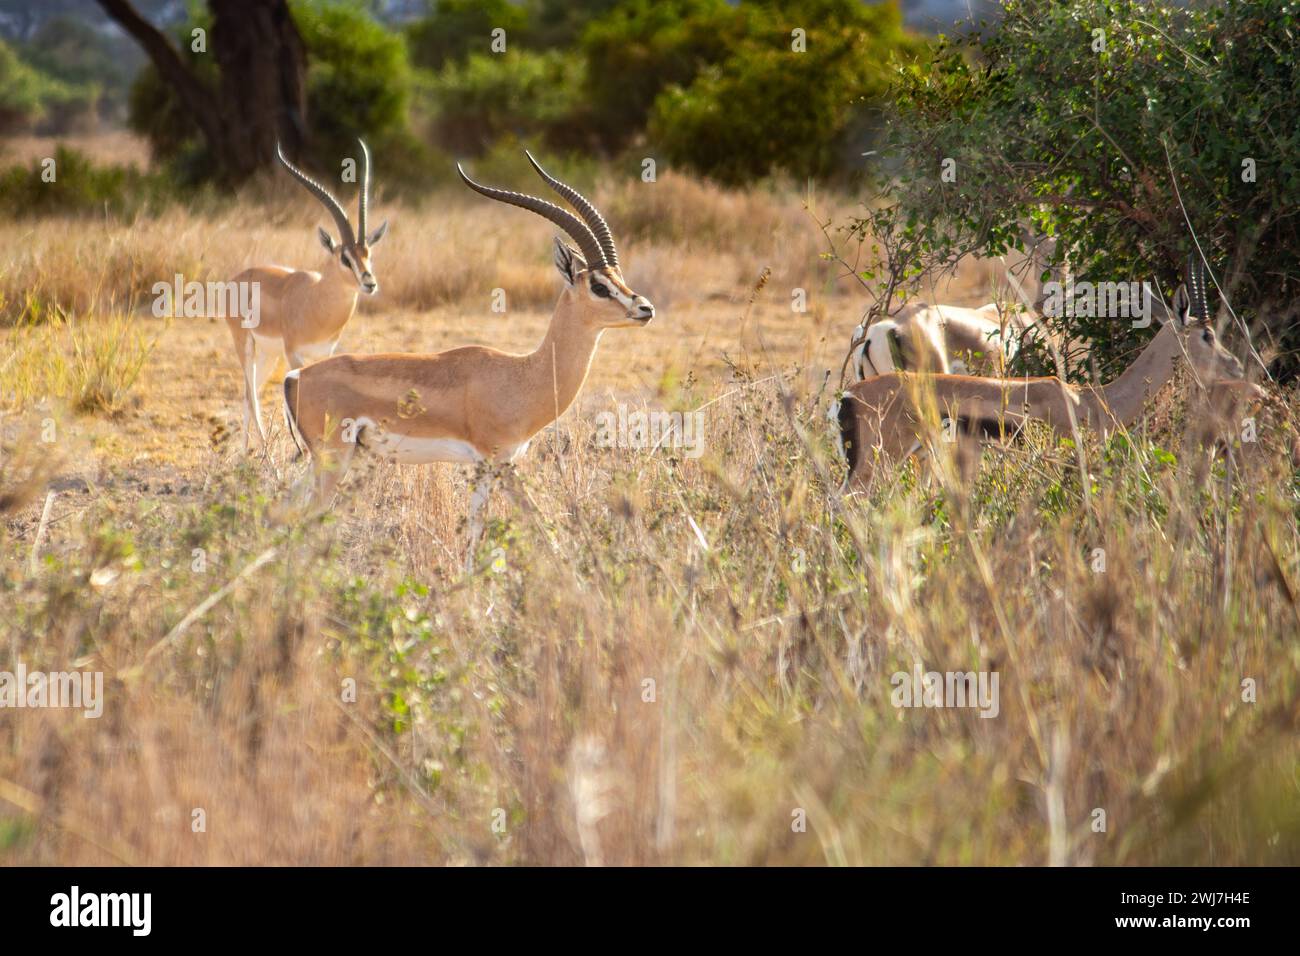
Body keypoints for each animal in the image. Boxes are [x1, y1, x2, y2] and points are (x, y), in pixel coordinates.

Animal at [227, 141, 388, 450]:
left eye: (368, 254)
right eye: (345, 258)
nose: (369, 283)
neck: (316, 302)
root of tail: (238, 277)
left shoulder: (323, 355)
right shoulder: (294, 355)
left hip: (268, 355)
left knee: (248, 393)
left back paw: (243, 455)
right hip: (246, 346)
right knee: (251, 395)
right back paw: (265, 456)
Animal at [282, 152, 654, 569]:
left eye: (618, 277)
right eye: (599, 286)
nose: (645, 308)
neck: (523, 376)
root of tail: (295, 376)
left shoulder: (484, 469)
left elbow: (475, 532)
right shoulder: (500, 462)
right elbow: (540, 526)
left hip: (325, 462)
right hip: (333, 461)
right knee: (304, 521)